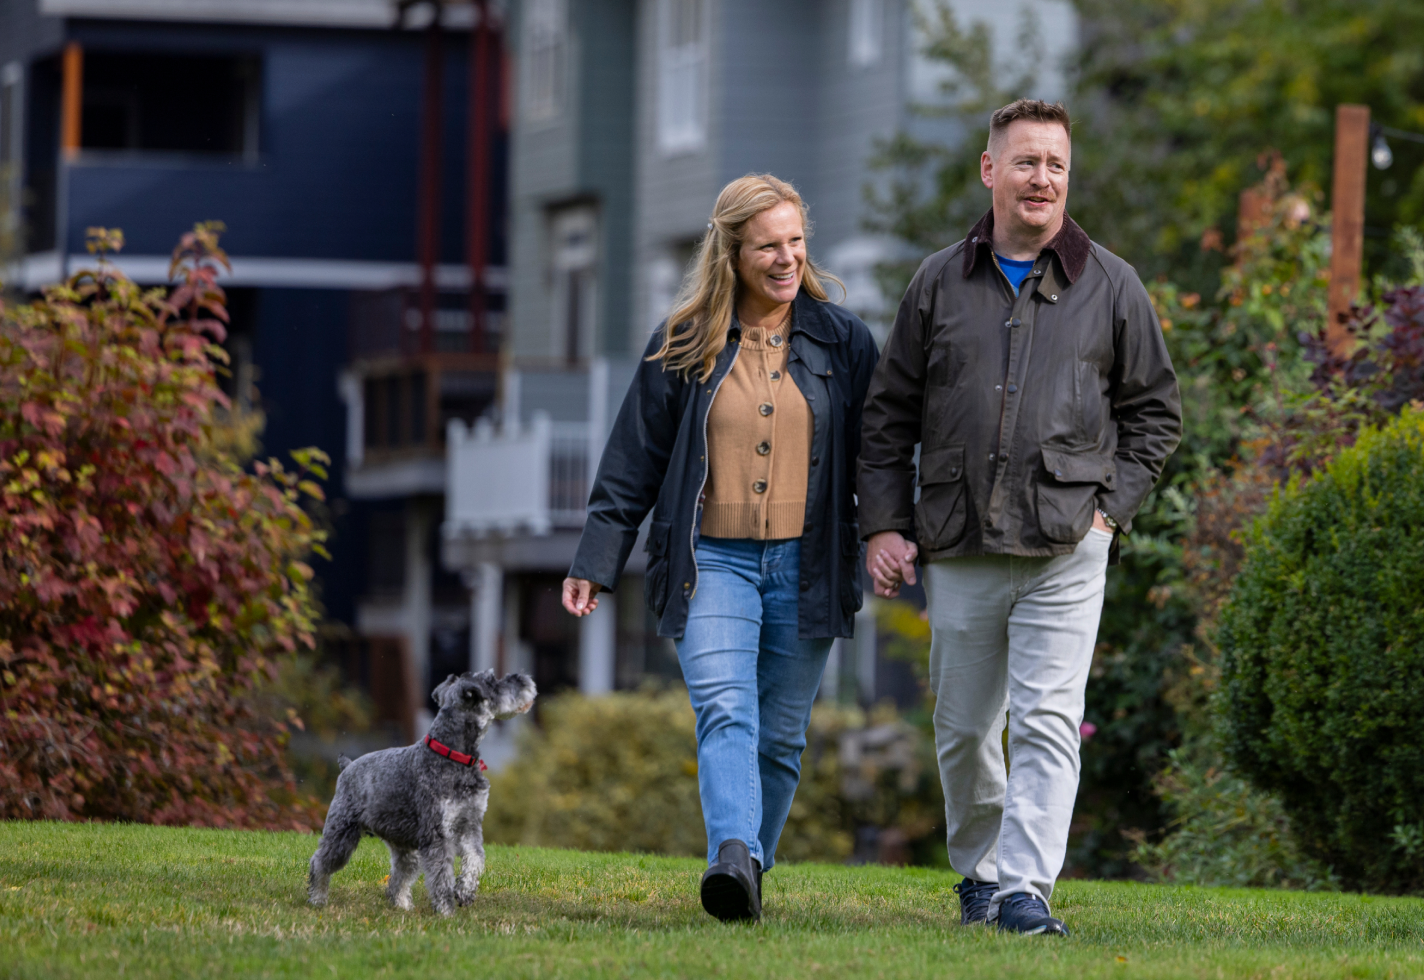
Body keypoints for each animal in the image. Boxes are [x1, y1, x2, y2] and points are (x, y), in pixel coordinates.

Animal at [309, 669, 535, 917]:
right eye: (493, 681)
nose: (523, 678)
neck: (453, 755)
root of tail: (347, 767)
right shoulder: (437, 835)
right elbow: (441, 876)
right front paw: (446, 912)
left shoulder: (470, 825)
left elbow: (476, 858)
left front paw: (465, 891)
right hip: (342, 835)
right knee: (320, 863)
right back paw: (317, 898)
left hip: (405, 848)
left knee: (398, 877)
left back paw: (402, 905)